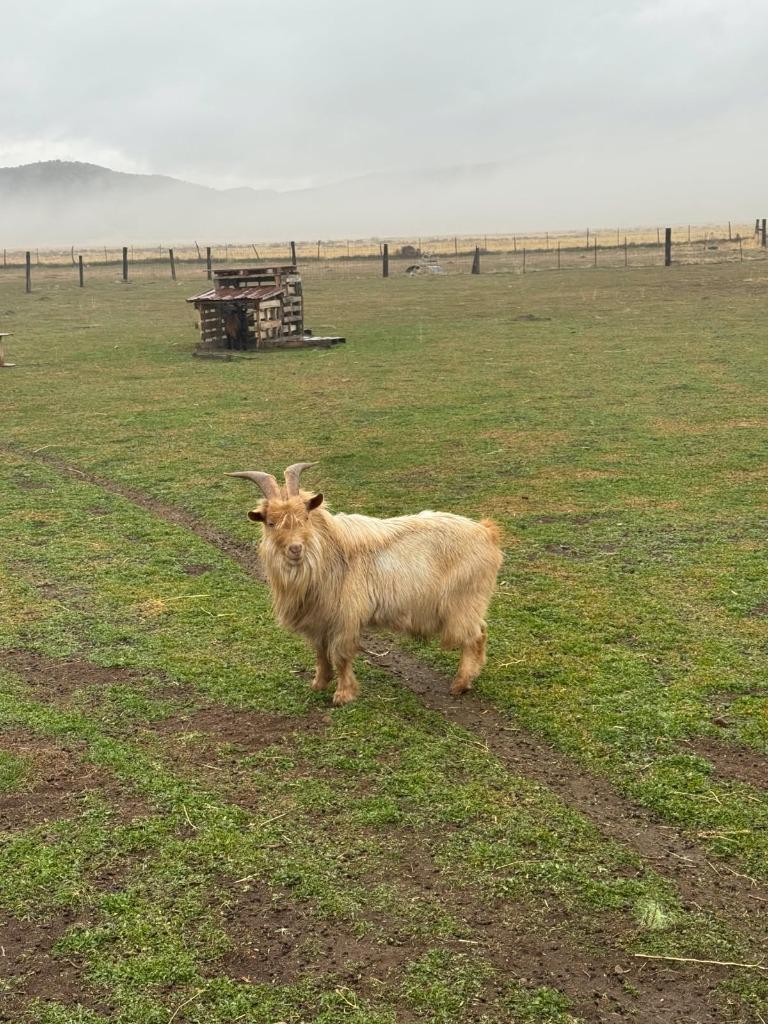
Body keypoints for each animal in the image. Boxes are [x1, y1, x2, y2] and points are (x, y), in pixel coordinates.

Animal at [227, 462, 503, 705]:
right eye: (271, 522)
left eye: (305, 517)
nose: (295, 549)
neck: (328, 552)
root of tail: (487, 533)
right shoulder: (319, 620)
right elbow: (320, 653)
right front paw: (319, 683)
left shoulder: (345, 617)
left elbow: (340, 656)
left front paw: (343, 695)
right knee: (482, 632)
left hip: (463, 603)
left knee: (474, 637)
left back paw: (460, 684)